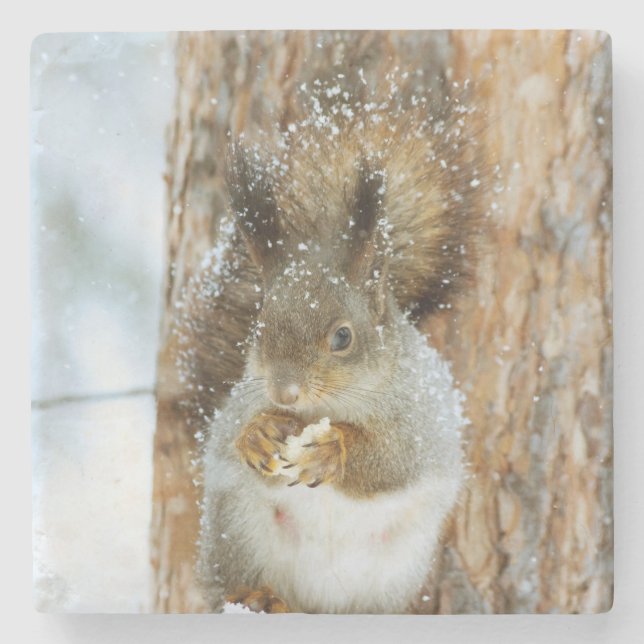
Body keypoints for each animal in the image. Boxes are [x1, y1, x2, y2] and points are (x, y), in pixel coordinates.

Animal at [182, 82, 486, 614]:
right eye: (259, 326)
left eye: (343, 337)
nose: (283, 394)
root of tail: (314, 602)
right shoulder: (239, 402)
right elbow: (228, 435)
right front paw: (257, 434)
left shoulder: (422, 419)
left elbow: (394, 459)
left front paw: (332, 449)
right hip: (235, 529)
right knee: (231, 582)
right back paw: (258, 597)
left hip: (393, 570)